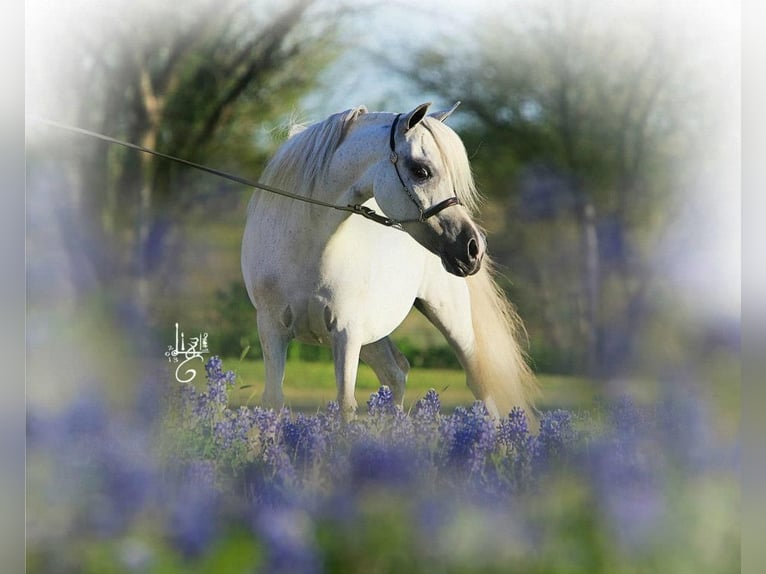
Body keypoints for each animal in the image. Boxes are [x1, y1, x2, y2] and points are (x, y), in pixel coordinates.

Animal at [242, 102, 540, 418]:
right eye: (421, 171)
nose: (472, 248)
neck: (307, 247)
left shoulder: (346, 334)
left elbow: (345, 405)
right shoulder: (272, 330)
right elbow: (274, 401)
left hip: (452, 322)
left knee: (479, 385)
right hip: (374, 335)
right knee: (395, 375)